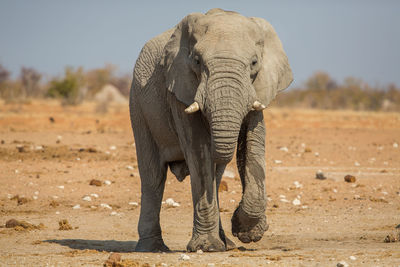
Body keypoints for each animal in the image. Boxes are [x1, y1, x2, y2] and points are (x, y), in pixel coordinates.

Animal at [130, 7, 292, 253]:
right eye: (197, 61)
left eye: (254, 62)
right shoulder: (179, 88)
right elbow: (198, 151)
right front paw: (207, 247)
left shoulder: (259, 88)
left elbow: (254, 142)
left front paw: (247, 232)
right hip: (138, 107)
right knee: (153, 177)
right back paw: (153, 248)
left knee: (216, 176)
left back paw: (227, 244)